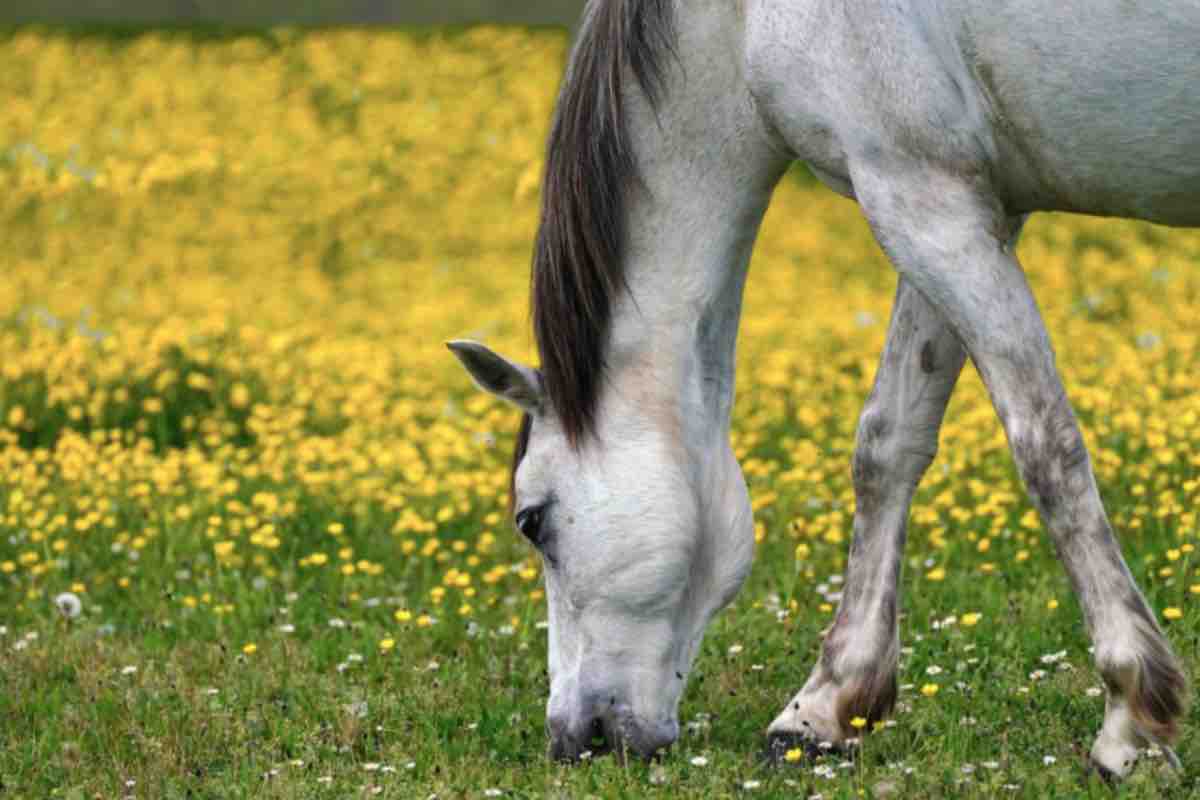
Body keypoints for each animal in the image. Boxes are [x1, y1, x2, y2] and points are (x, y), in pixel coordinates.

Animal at [446, 0, 1195, 777]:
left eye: (531, 520)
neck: (741, 22)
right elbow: (887, 445)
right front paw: (827, 706)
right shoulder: (962, 203)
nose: (574, 737)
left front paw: (1130, 718)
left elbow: (1045, 448)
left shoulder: (917, 191)